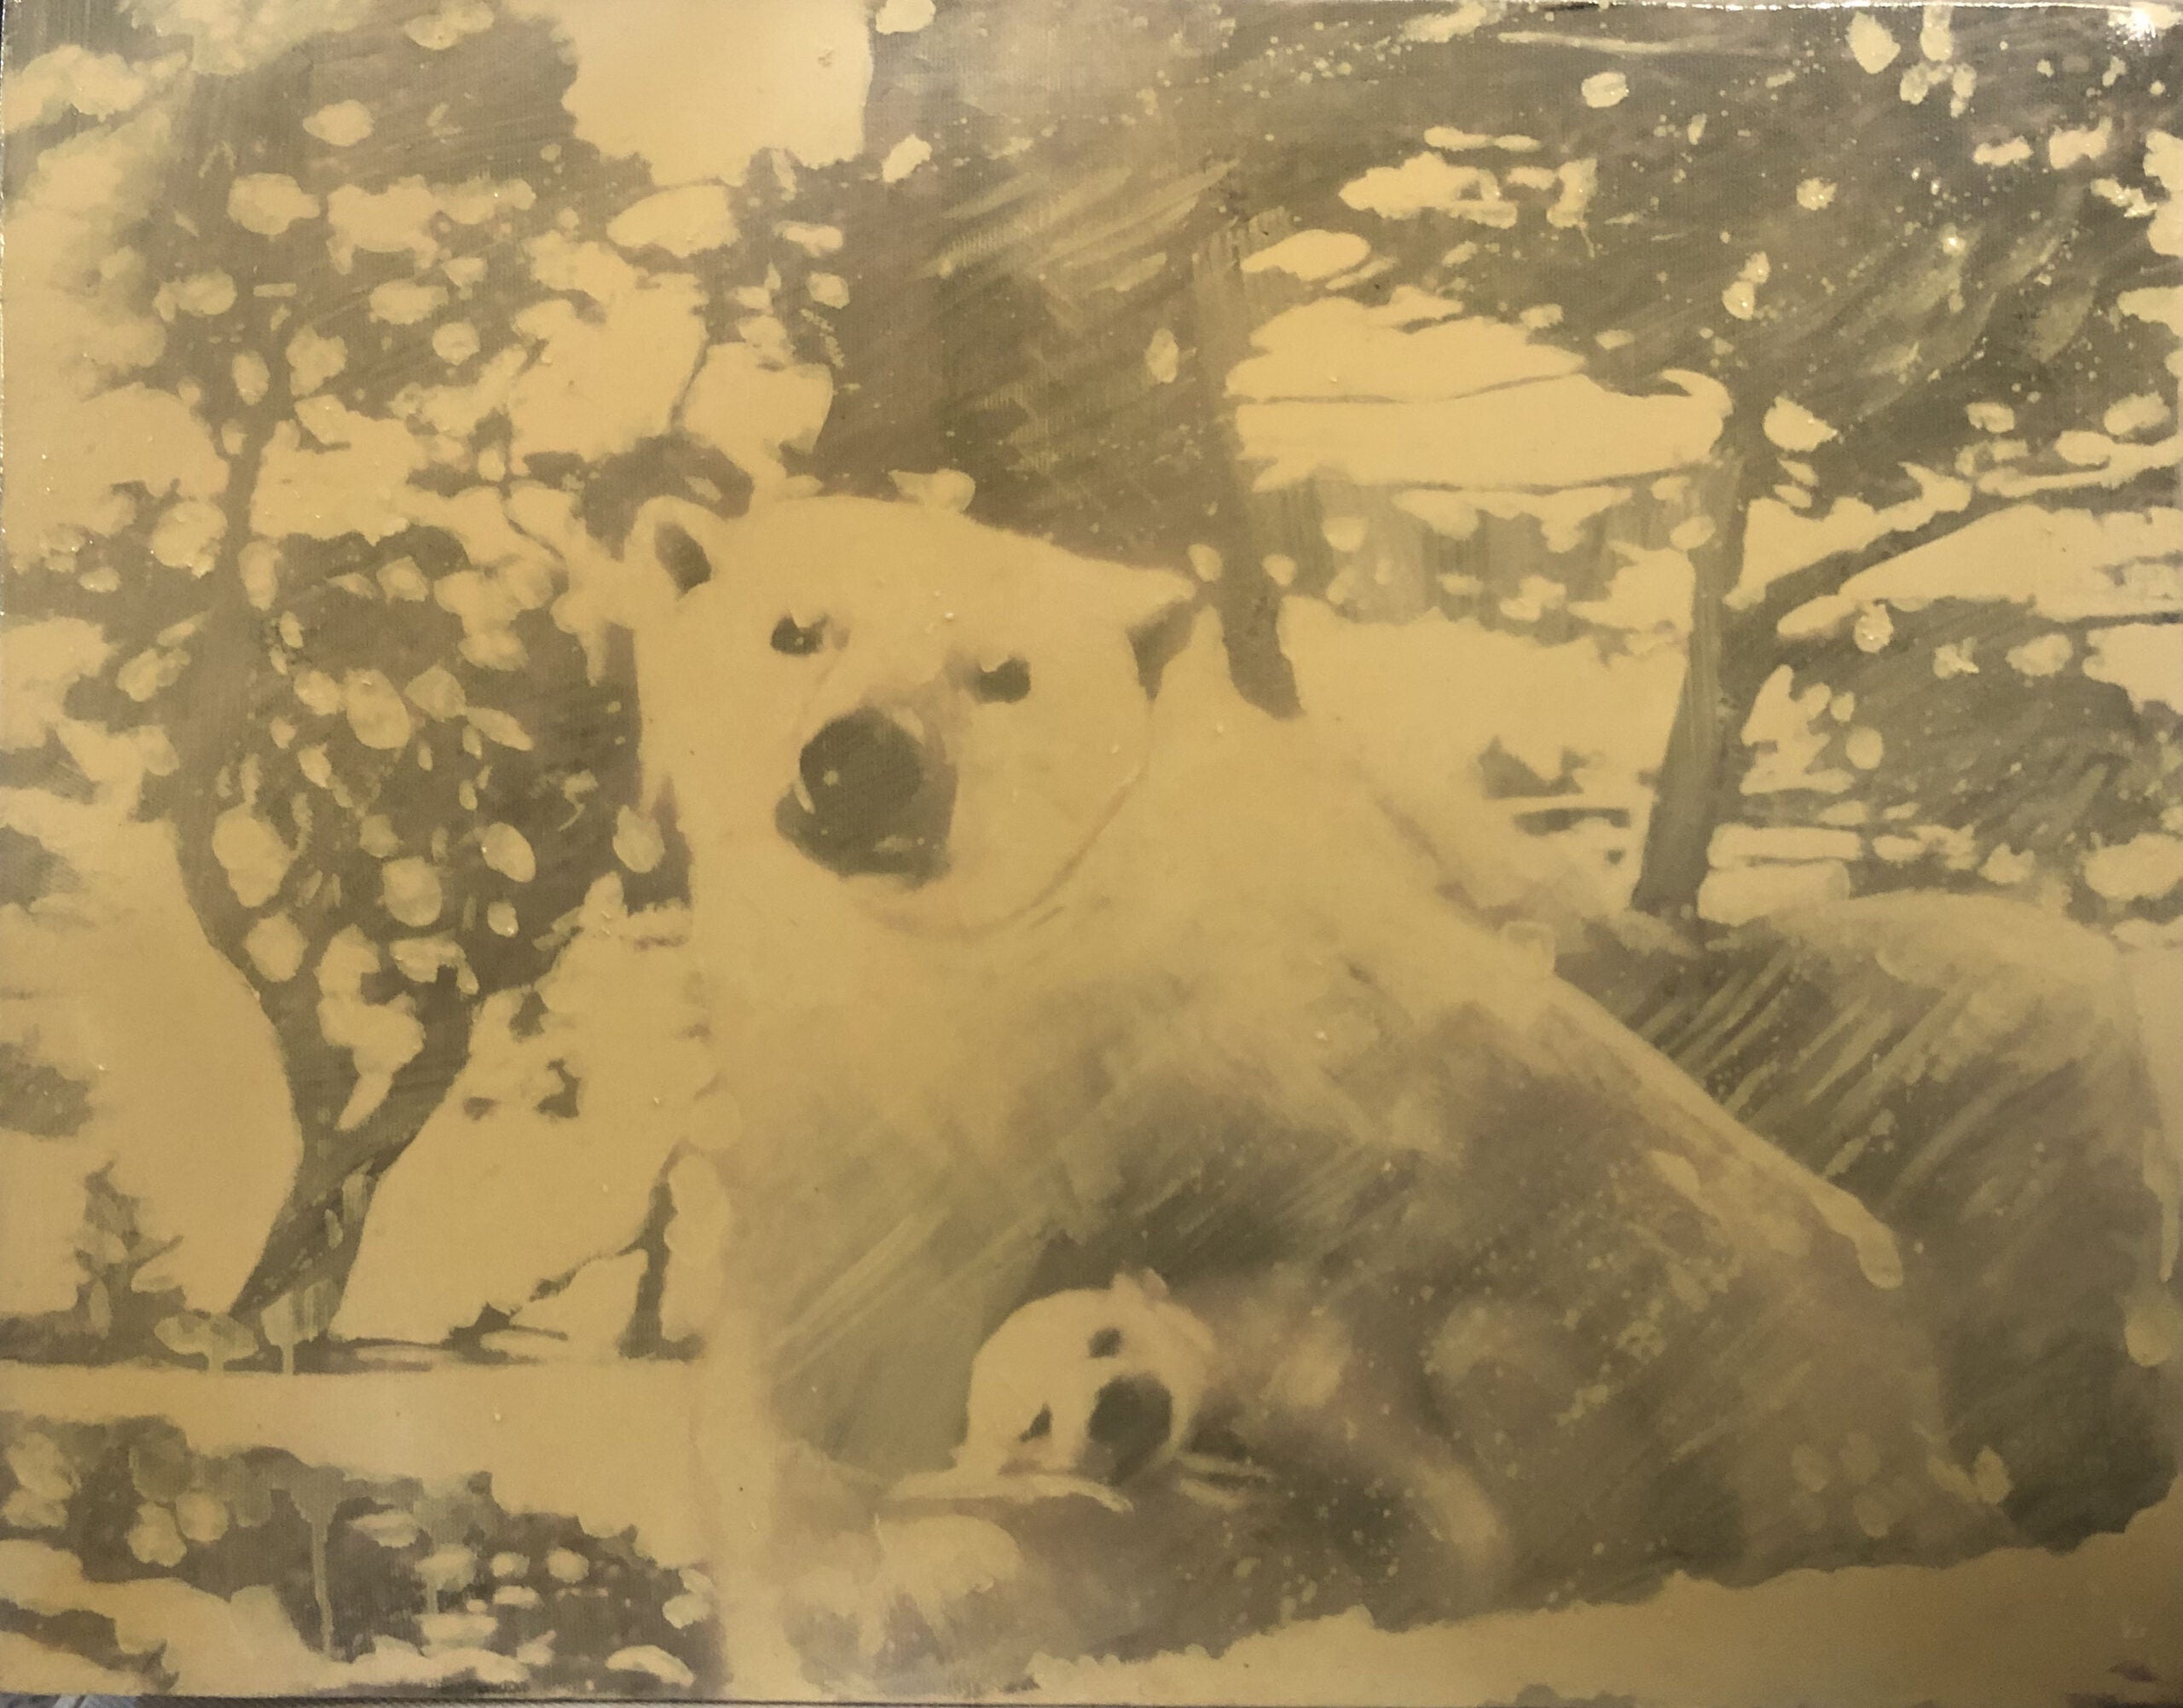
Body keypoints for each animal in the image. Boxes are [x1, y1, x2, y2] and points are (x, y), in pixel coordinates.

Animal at [618, 490, 1999, 1694]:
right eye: (796, 628)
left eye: (1003, 673)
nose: (862, 759)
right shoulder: (869, 1123)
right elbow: (817, 1386)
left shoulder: (1295, 1048)